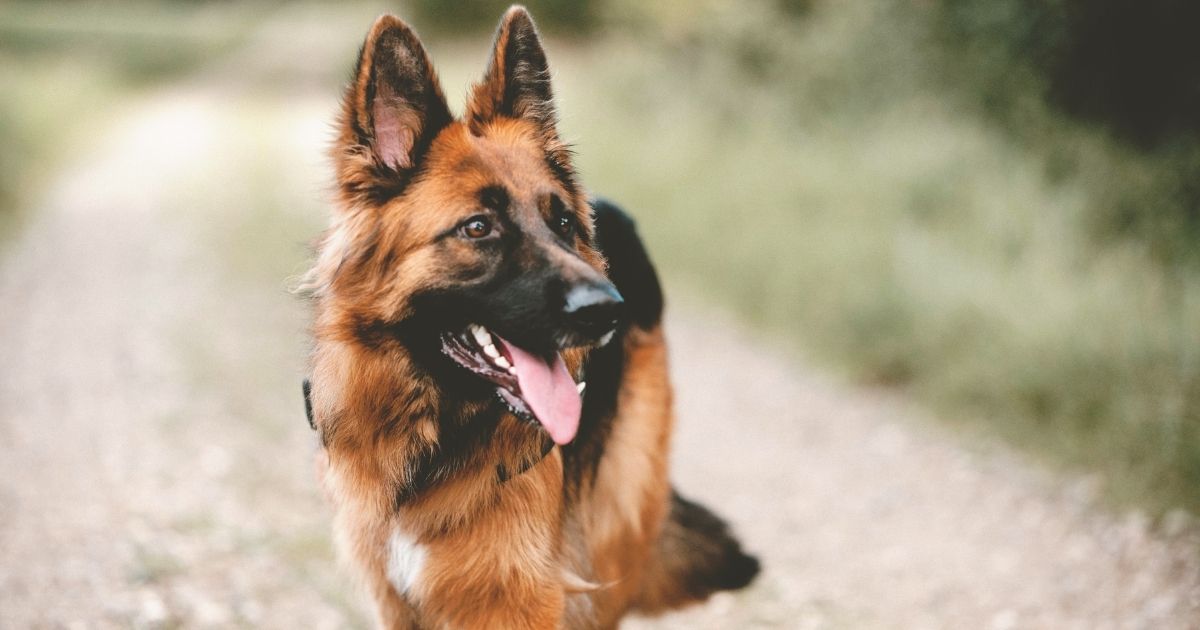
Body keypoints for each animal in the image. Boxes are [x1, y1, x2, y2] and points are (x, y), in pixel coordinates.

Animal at [307, 6, 758, 628]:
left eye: (563, 223)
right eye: (478, 227)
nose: (608, 309)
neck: (435, 444)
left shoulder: (518, 597)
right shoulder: (395, 597)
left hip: (612, 520)